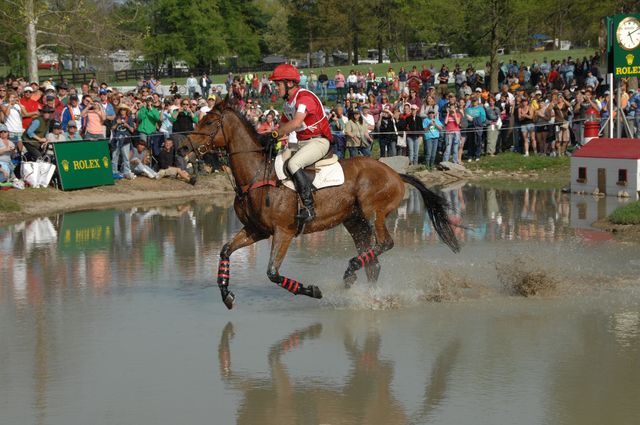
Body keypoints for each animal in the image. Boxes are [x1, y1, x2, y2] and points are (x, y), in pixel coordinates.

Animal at [186, 101, 460, 310]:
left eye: (208, 123)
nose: (184, 146)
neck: (254, 175)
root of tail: (395, 173)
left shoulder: (283, 232)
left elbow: (273, 273)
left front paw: (312, 290)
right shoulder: (256, 231)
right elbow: (225, 251)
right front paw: (226, 295)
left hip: (374, 212)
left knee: (385, 244)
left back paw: (351, 270)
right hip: (354, 221)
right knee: (373, 261)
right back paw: (369, 293)